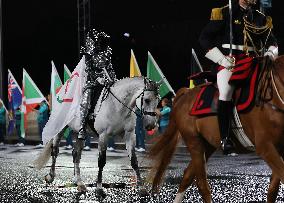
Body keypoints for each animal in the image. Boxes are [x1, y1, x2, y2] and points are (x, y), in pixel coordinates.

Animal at [150, 56, 284, 203]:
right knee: (201, 183)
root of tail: (187, 93)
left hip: (207, 145)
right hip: (194, 142)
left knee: (187, 176)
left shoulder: (278, 150)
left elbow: (272, 190)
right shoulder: (265, 147)